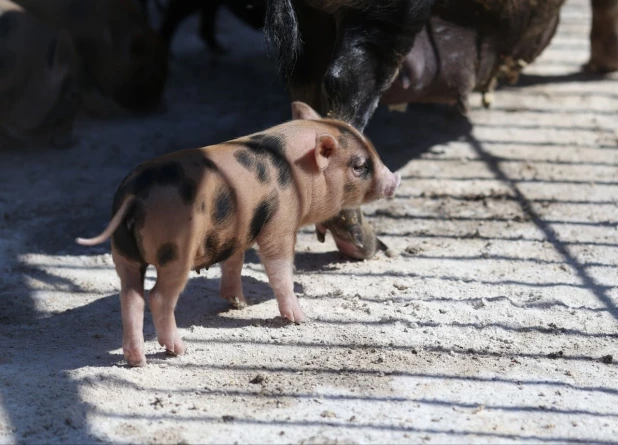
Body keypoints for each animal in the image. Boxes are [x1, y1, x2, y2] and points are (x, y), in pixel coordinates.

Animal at [74, 102, 400, 366]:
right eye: (360, 166)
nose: (395, 179)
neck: (297, 174)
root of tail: (135, 195)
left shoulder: (238, 232)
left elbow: (234, 262)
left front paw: (238, 303)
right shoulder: (279, 226)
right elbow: (279, 270)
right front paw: (299, 318)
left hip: (124, 254)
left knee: (130, 297)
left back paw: (137, 361)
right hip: (175, 250)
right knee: (158, 297)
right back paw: (179, 350)